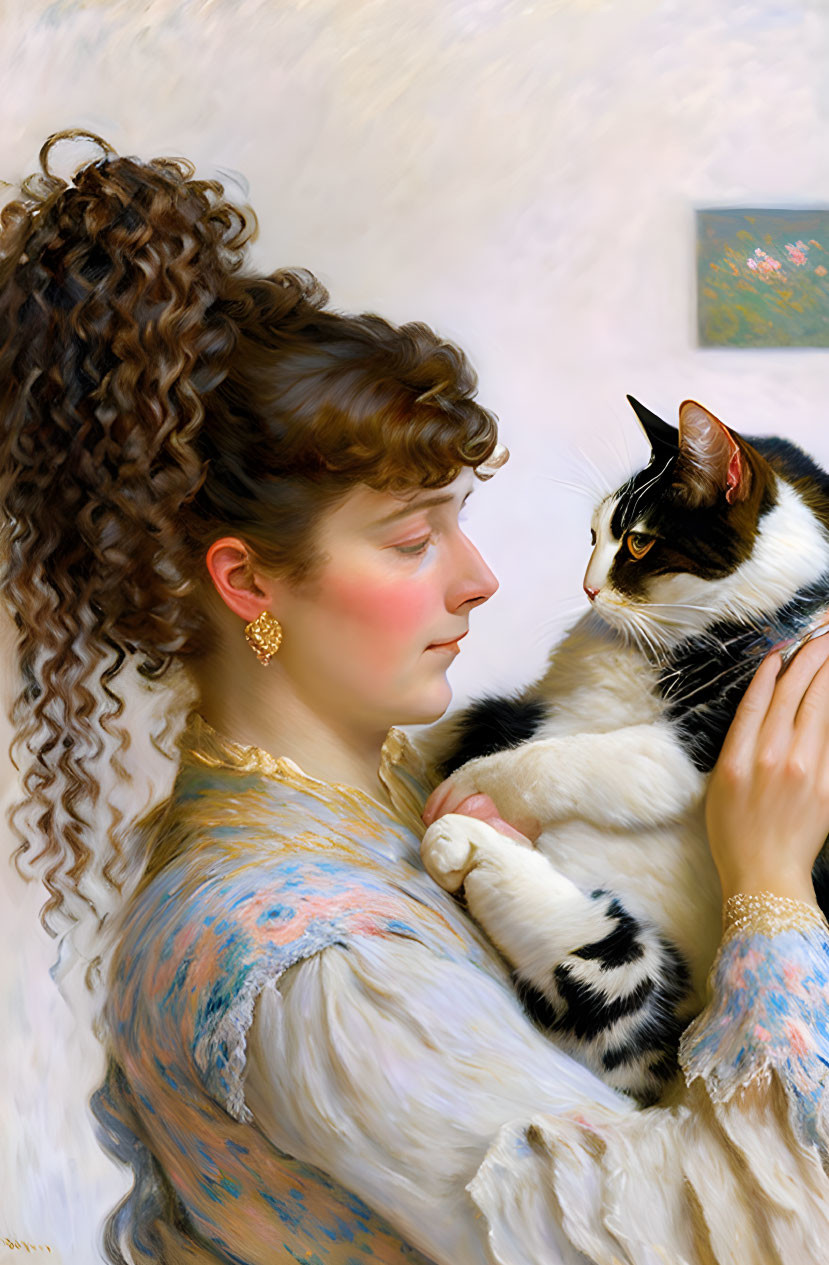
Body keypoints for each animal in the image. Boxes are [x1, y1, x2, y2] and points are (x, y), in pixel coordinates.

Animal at [417, 399, 829, 1103]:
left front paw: (471, 783)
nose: (587, 589)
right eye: (592, 537)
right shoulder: (525, 702)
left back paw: (465, 836)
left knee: (599, 979)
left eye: (637, 542)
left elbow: (565, 759)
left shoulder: (696, 745)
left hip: (629, 999)